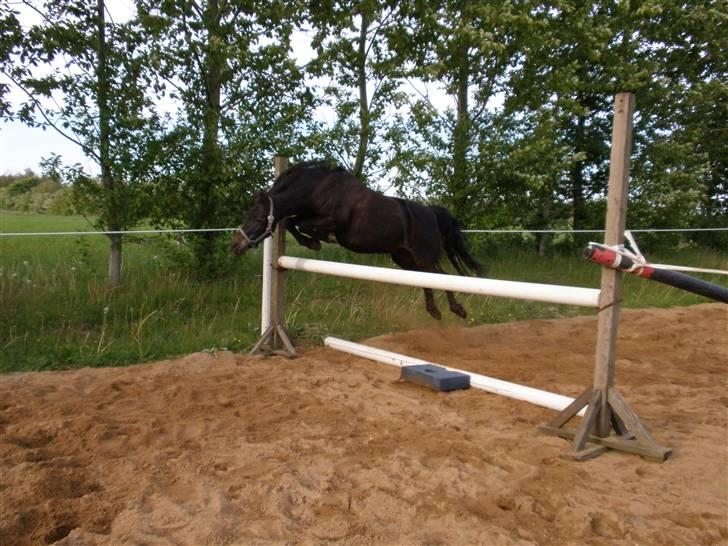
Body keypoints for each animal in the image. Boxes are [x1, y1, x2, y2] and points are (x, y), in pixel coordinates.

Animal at [231, 161, 483, 320]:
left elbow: (302, 224)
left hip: (424, 256)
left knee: (443, 276)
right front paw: (312, 242)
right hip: (404, 258)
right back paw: (434, 311)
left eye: (256, 217)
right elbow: (292, 222)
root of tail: (431, 213)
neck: (318, 190)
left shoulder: (334, 220)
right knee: (427, 279)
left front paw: (318, 240)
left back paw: (458, 310)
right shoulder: (304, 216)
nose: (235, 245)